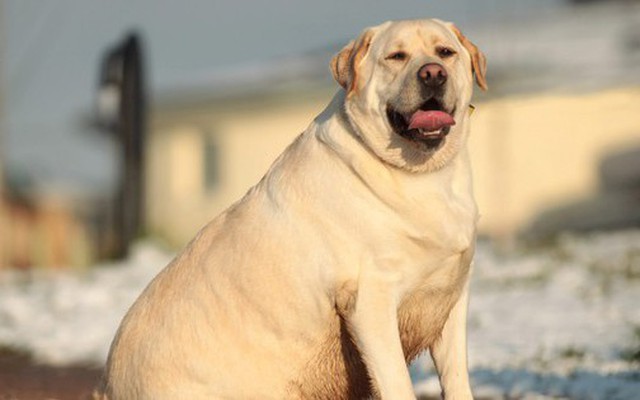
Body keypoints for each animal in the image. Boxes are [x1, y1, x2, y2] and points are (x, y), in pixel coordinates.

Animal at [94, 18, 484, 400]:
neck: (421, 174)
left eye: (445, 52)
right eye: (396, 56)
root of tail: (106, 386)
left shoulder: (451, 296)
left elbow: (457, 378)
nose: (432, 74)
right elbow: (398, 382)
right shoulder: (370, 301)